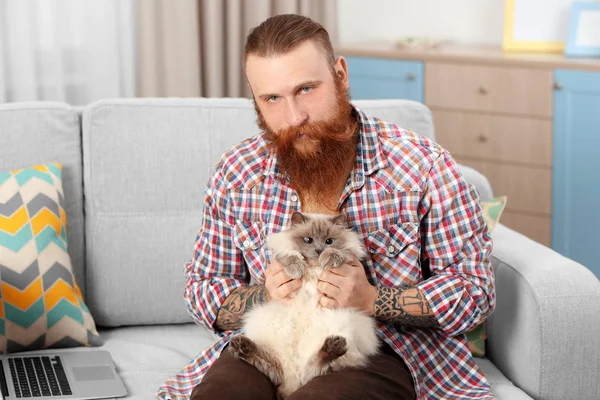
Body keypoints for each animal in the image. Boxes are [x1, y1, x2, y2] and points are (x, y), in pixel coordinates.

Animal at [227, 211, 378, 398]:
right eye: (308, 240)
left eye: (329, 241)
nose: (319, 250)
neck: (312, 267)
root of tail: (293, 384)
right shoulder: (282, 252)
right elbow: (289, 255)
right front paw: (296, 269)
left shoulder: (351, 256)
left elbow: (341, 252)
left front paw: (328, 258)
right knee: (278, 369)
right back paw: (241, 346)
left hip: (343, 324)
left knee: (312, 371)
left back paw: (332, 347)